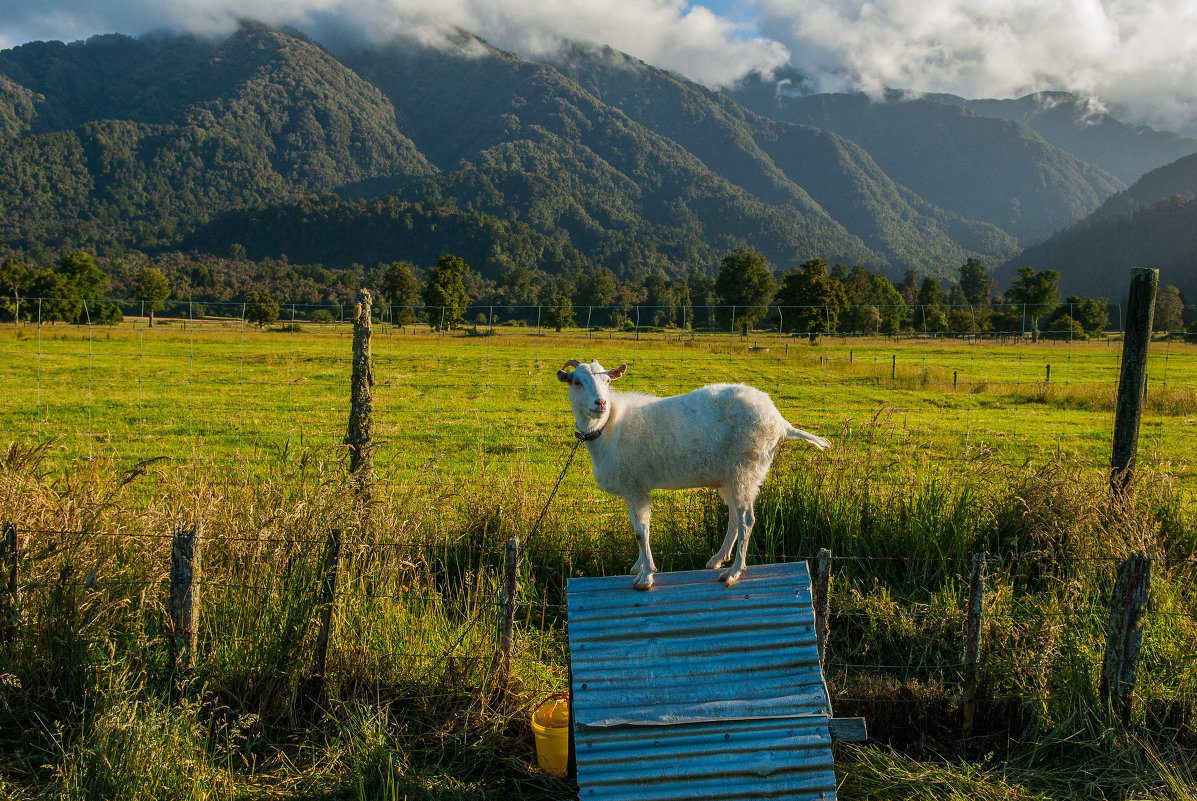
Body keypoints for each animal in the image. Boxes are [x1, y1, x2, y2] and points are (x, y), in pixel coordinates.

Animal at [555, 359, 828, 591]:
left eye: (608, 381)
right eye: (576, 381)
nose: (600, 403)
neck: (609, 426)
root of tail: (780, 421)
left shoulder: (636, 485)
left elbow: (641, 530)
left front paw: (646, 576)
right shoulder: (632, 488)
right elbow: (637, 528)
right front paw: (639, 566)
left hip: (746, 469)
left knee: (746, 519)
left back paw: (734, 572)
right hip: (730, 477)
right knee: (734, 517)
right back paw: (718, 559)